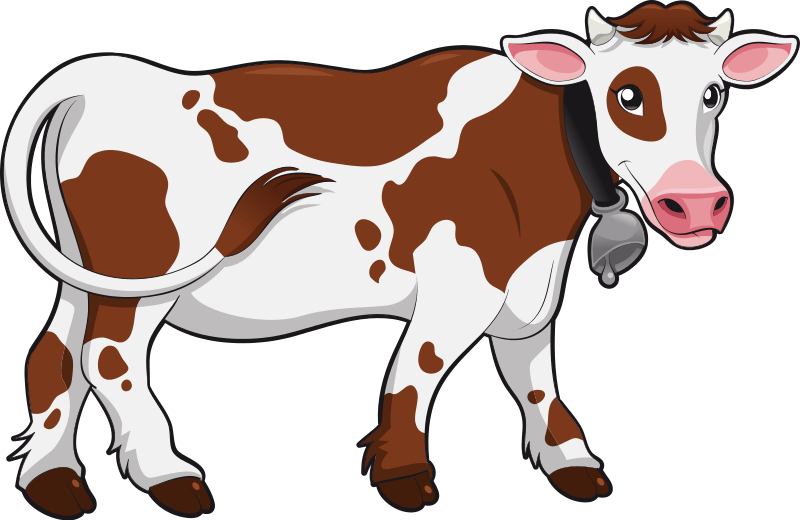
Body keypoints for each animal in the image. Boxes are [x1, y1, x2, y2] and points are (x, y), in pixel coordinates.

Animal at [3, 3, 795, 517]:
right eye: (628, 93)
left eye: (715, 93)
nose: (696, 203)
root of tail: (110, 74)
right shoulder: (463, 285)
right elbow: (421, 368)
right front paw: (405, 476)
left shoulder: (526, 289)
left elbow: (536, 381)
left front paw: (572, 464)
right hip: (140, 272)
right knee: (109, 357)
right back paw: (167, 475)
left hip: (84, 268)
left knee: (56, 352)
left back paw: (53, 482)